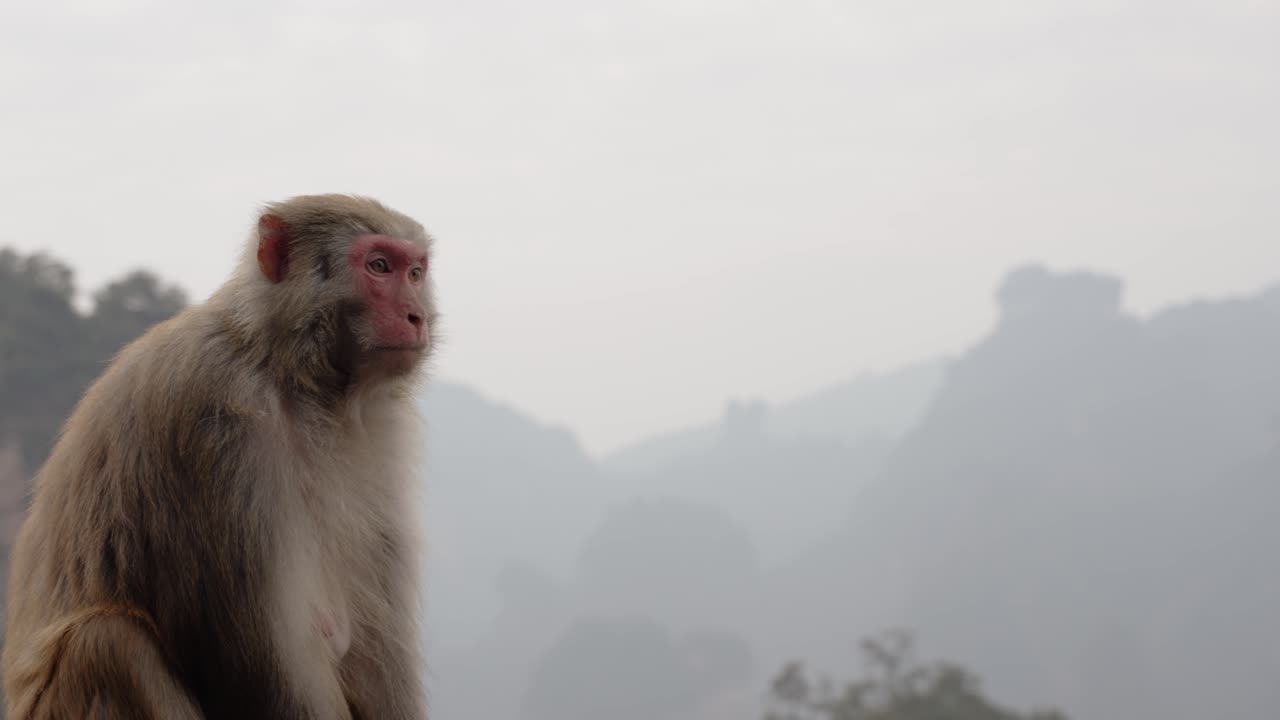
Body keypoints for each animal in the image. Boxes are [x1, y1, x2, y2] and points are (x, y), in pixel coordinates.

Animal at [1, 194, 438, 719]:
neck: (297, 378)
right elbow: (260, 666)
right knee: (106, 642)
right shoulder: (216, 420)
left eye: (415, 272)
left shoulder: (378, 439)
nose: (418, 317)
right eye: (379, 267)